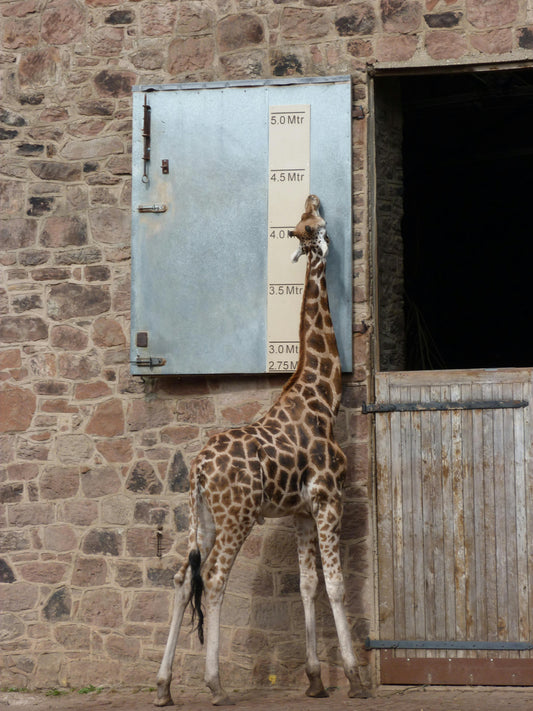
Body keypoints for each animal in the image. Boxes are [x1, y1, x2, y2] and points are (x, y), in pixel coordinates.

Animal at [155, 195, 369, 706]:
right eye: (314, 225)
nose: (314, 197)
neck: (323, 395)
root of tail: (197, 469)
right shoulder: (330, 499)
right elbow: (335, 585)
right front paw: (354, 678)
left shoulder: (300, 511)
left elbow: (307, 586)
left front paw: (315, 680)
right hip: (239, 515)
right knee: (213, 580)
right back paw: (215, 685)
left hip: (203, 517)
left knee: (181, 578)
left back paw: (164, 686)